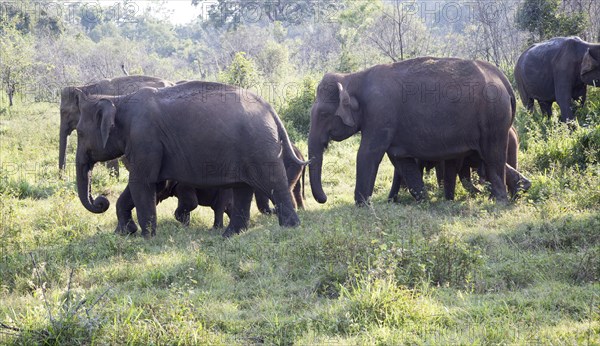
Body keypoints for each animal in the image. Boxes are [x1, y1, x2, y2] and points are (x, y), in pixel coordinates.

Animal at [72, 81, 302, 238]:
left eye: (80, 133)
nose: (101, 201)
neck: (119, 100)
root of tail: (270, 109)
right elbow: (146, 184)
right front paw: (124, 232)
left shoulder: (144, 138)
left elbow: (141, 183)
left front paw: (146, 238)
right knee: (243, 188)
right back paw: (230, 235)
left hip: (260, 145)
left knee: (272, 182)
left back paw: (291, 228)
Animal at [310, 56, 516, 205]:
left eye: (323, 114)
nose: (325, 199)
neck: (353, 77)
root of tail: (503, 79)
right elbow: (400, 159)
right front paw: (424, 201)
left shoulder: (380, 112)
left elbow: (368, 153)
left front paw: (361, 205)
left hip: (494, 119)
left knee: (493, 156)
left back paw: (499, 202)